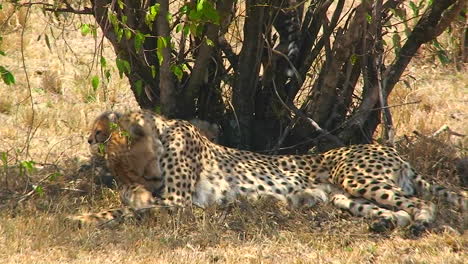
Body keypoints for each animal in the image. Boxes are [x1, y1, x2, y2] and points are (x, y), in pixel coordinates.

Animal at [70, 110, 468, 234]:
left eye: (100, 131)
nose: (88, 139)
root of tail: (387, 147)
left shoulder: (178, 201)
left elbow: (123, 209)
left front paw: (83, 217)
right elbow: (130, 201)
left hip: (357, 177)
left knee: (420, 204)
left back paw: (420, 224)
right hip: (343, 196)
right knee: (396, 211)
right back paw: (385, 223)